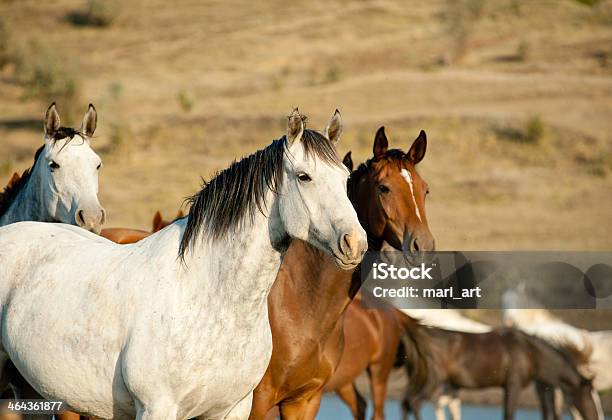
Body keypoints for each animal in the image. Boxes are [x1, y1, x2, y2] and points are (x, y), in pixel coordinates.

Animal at [249, 126, 436, 418]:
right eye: (384, 188)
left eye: (424, 190)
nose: (423, 246)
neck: (302, 306)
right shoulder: (259, 400)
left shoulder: (306, 399)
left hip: (377, 374)